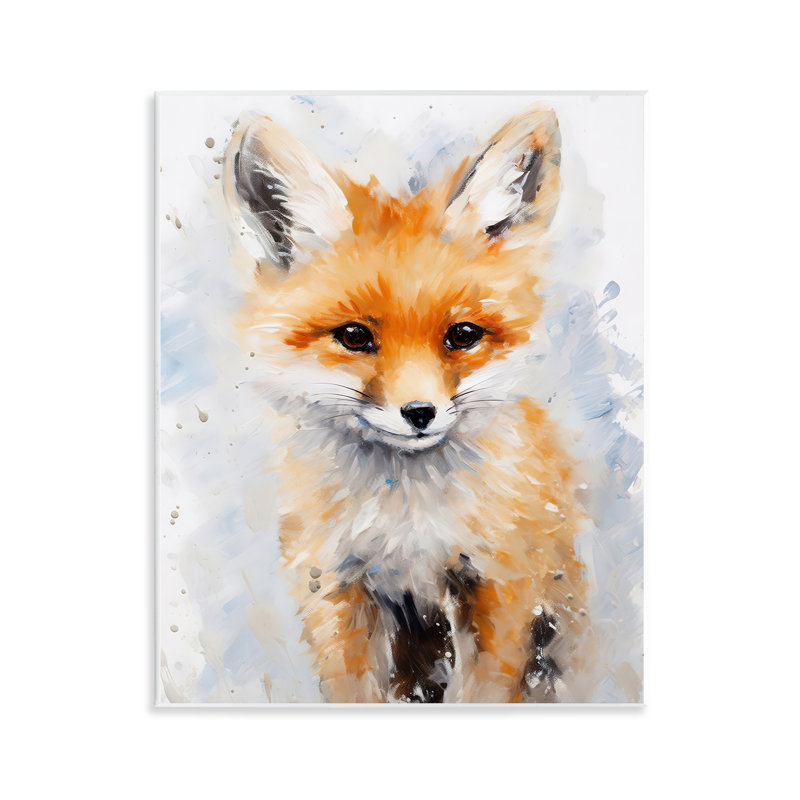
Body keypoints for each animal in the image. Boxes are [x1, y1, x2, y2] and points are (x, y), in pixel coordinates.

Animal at [222, 104, 589, 702]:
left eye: (462, 335)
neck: (408, 524)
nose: (420, 413)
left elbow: (485, 692)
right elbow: (352, 690)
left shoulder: (498, 584)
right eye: (353, 336)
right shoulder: (335, 587)